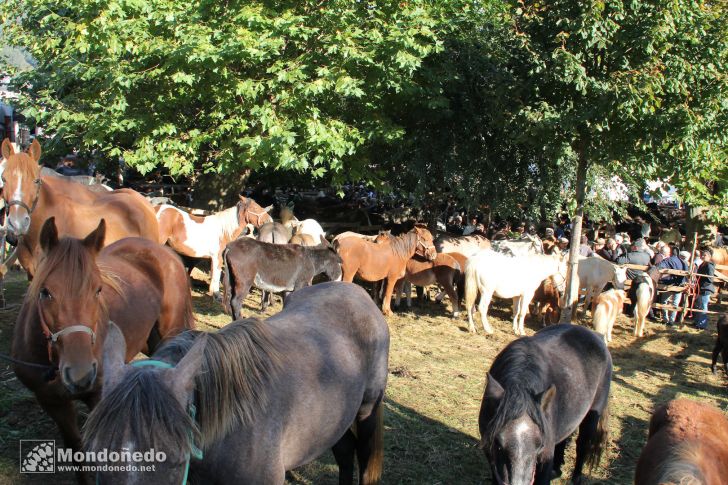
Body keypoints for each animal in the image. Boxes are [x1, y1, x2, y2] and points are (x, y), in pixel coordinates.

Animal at [12, 217, 193, 482]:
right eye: (45, 292)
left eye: (98, 290)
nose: (80, 373)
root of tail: (165, 252)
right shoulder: (51, 401)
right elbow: (76, 448)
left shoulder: (98, 396)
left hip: (171, 332)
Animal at [480, 322, 612, 484]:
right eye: (498, 444)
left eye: (540, 445)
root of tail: (597, 336)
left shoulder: (545, 459)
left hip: (592, 416)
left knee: (582, 444)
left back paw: (576, 477)